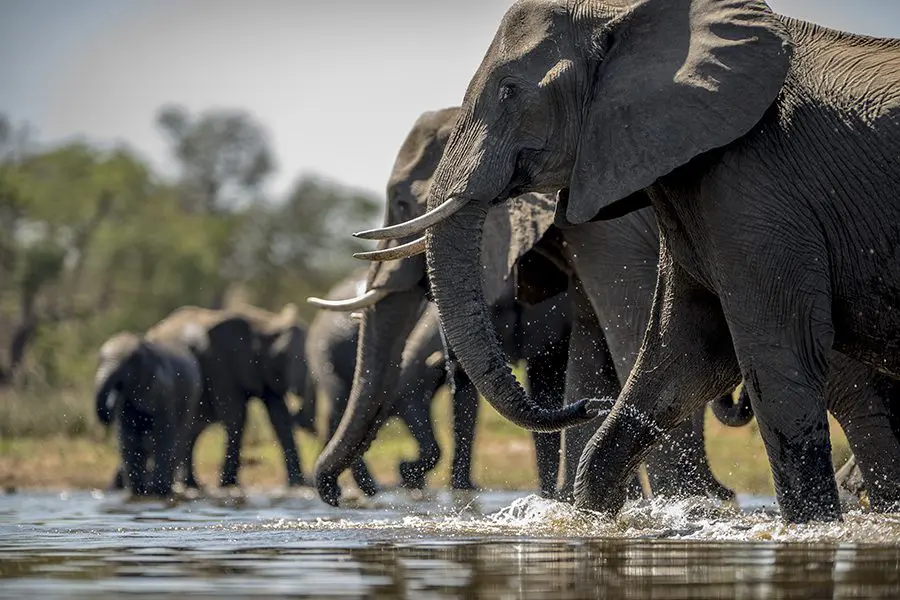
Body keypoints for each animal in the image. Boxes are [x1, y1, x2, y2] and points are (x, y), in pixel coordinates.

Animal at [96, 330, 202, 494]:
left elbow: (163, 435)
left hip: (192, 400)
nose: (111, 403)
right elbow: (128, 437)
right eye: (100, 360)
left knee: (179, 440)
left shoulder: (164, 391)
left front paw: (158, 491)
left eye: (130, 362)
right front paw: (137, 491)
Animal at [146, 302, 312, 490]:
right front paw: (228, 485)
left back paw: (192, 485)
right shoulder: (222, 363)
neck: (265, 324)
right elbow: (235, 416)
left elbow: (279, 418)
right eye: (282, 355)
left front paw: (297, 485)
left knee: (192, 429)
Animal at [362, 0, 900, 520]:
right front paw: (598, 515)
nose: (589, 407)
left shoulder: (753, 186)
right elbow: (680, 352)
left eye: (509, 91)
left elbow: (772, 352)